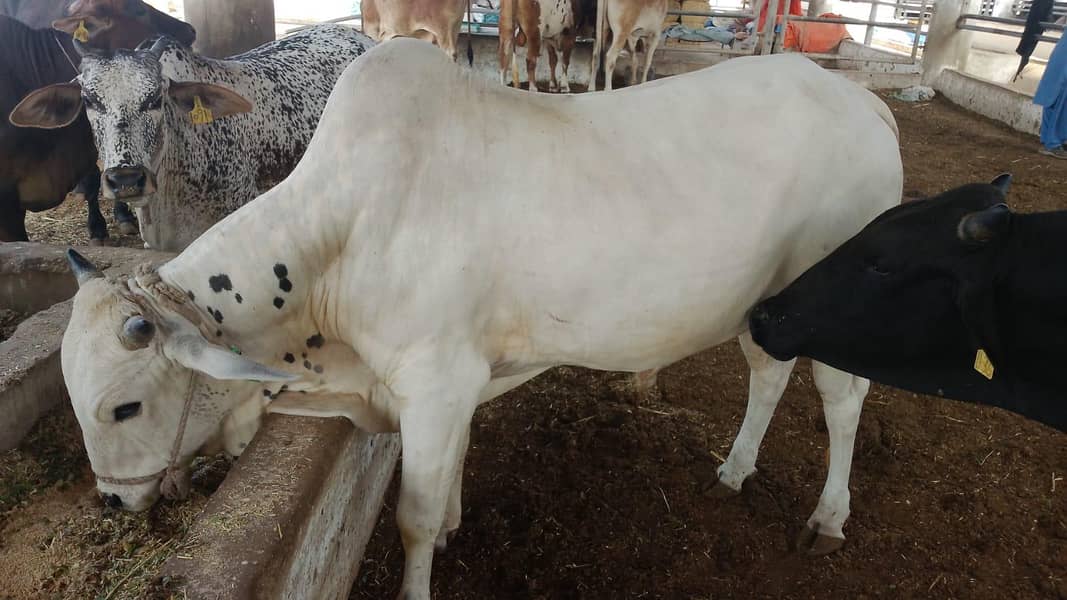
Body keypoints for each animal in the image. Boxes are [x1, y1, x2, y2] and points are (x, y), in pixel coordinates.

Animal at [57, 40, 902, 599]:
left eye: (123, 406)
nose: (113, 501)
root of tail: (862, 102)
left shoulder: (433, 382)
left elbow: (413, 516)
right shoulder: (453, 384)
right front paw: (458, 521)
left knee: (842, 401)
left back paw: (827, 518)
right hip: (766, 302)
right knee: (767, 373)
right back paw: (732, 471)